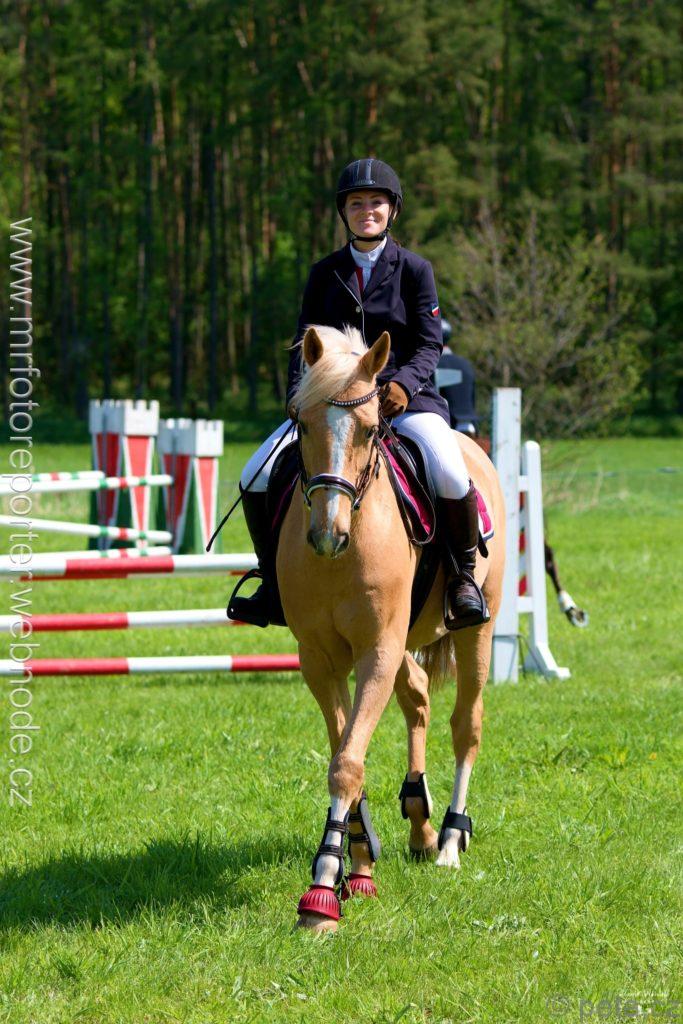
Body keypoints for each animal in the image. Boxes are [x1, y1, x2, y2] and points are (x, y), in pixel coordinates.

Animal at [276, 324, 506, 932]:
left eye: (368, 428)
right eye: (302, 424)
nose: (327, 535)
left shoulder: (375, 652)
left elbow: (347, 763)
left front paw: (321, 893)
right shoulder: (319, 659)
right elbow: (344, 752)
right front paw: (356, 867)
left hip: (476, 632)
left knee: (466, 725)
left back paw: (449, 838)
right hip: (404, 645)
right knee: (419, 699)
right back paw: (420, 824)